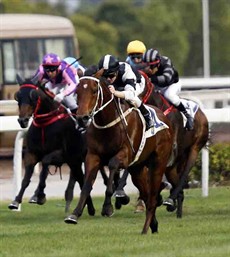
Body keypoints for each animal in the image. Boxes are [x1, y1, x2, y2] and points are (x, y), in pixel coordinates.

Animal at [7, 76, 95, 214]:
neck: (45, 124)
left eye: (33, 96)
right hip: (76, 161)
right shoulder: (31, 153)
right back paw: (88, 208)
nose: (23, 120)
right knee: (80, 180)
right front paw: (16, 201)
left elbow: (45, 162)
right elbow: (26, 178)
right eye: (18, 96)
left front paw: (40, 195)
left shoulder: (62, 155)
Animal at [63, 70, 173, 234]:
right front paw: (74, 214)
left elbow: (113, 166)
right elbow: (86, 186)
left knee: (152, 195)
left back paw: (147, 225)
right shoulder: (93, 156)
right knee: (146, 194)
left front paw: (108, 207)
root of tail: (164, 117)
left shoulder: (125, 155)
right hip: (137, 169)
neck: (107, 125)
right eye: (77, 92)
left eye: (94, 90)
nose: (82, 118)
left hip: (158, 163)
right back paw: (153, 225)